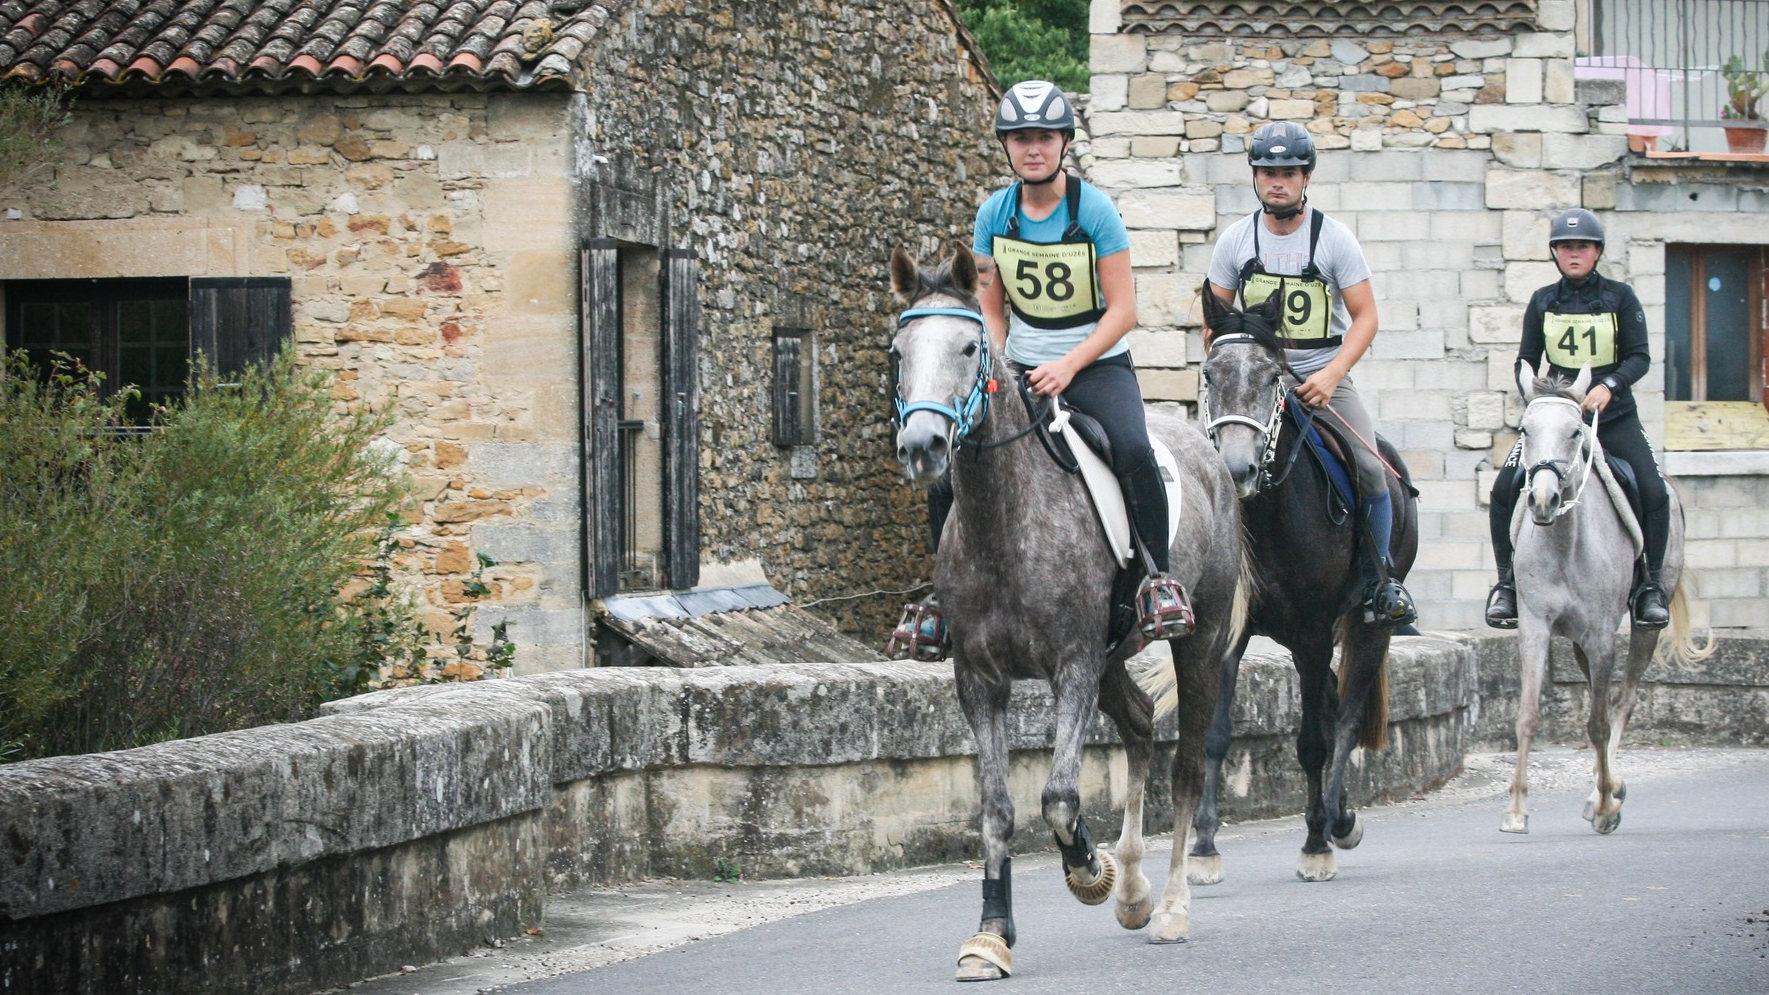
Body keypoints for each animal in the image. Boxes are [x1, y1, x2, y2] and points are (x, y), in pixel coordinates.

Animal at [889, 245, 1246, 980]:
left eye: (969, 346)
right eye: (897, 351)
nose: (923, 447)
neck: (1003, 517)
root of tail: (1211, 456)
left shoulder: (1073, 667)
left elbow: (1057, 797)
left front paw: (1086, 866)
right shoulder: (980, 680)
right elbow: (997, 810)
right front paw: (990, 935)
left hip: (1194, 645)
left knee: (1187, 766)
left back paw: (1171, 907)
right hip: (1113, 659)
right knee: (1138, 725)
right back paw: (1134, 890)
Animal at [1179, 289, 1419, 883]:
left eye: (1272, 378)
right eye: (1210, 373)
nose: (1237, 469)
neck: (1266, 514)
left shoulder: (1312, 634)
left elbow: (1312, 742)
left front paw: (1315, 844)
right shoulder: (1231, 634)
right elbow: (1216, 736)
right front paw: (1204, 847)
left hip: (1370, 624)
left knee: (1347, 713)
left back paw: (1334, 820)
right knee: (1333, 703)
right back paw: (1340, 814)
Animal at [1503, 362, 1711, 835]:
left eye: (1575, 431)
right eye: (1525, 429)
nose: (1543, 500)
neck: (1564, 542)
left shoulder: (1601, 637)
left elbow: (1598, 721)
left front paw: (1603, 806)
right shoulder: (1535, 628)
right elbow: (1528, 714)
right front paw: (1517, 810)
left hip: (1643, 627)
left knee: (1623, 699)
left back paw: (1607, 791)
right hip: (1578, 641)